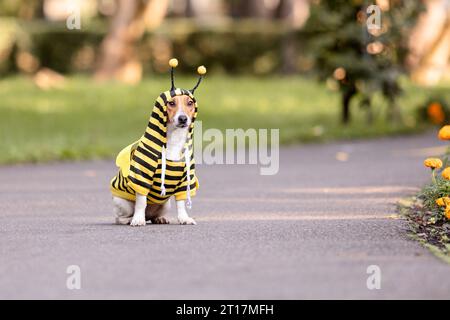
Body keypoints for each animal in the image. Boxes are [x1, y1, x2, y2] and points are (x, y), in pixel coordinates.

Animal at [110, 58, 206, 226]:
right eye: (171, 103)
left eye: (190, 103)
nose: (183, 119)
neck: (174, 140)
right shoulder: (142, 177)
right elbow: (141, 201)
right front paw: (138, 220)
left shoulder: (184, 181)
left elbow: (181, 203)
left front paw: (184, 218)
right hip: (122, 203)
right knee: (121, 217)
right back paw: (131, 219)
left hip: (164, 204)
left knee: (154, 215)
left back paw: (159, 218)